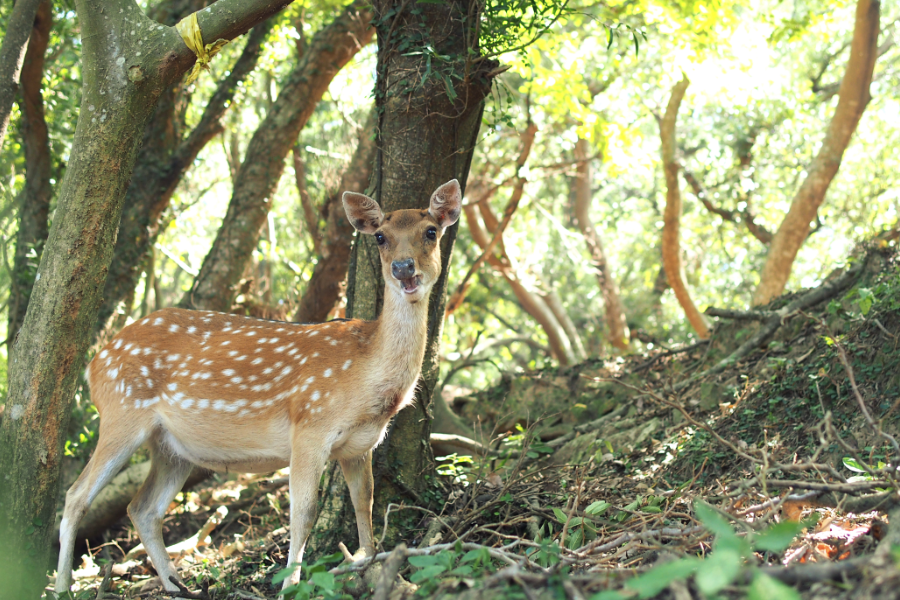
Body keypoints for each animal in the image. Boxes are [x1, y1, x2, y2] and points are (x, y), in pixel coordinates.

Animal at [54, 179, 464, 596]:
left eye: (431, 231)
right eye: (381, 236)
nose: (403, 268)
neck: (367, 381)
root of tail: (93, 365)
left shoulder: (358, 446)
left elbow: (364, 501)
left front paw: (368, 564)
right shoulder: (309, 427)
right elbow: (303, 511)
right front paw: (289, 585)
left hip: (171, 447)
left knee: (142, 508)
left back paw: (176, 585)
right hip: (121, 412)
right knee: (75, 497)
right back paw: (63, 587)